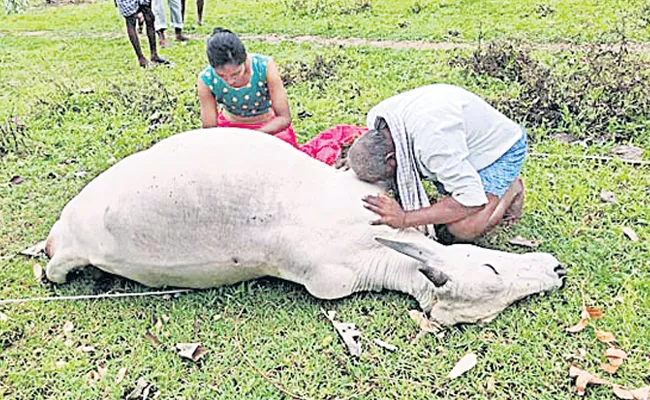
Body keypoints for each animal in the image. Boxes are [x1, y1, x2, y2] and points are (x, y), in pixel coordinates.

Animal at [45, 130, 560, 326]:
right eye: (491, 271)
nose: (557, 270)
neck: (376, 248)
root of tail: (62, 228)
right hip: (67, 253)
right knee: (54, 269)